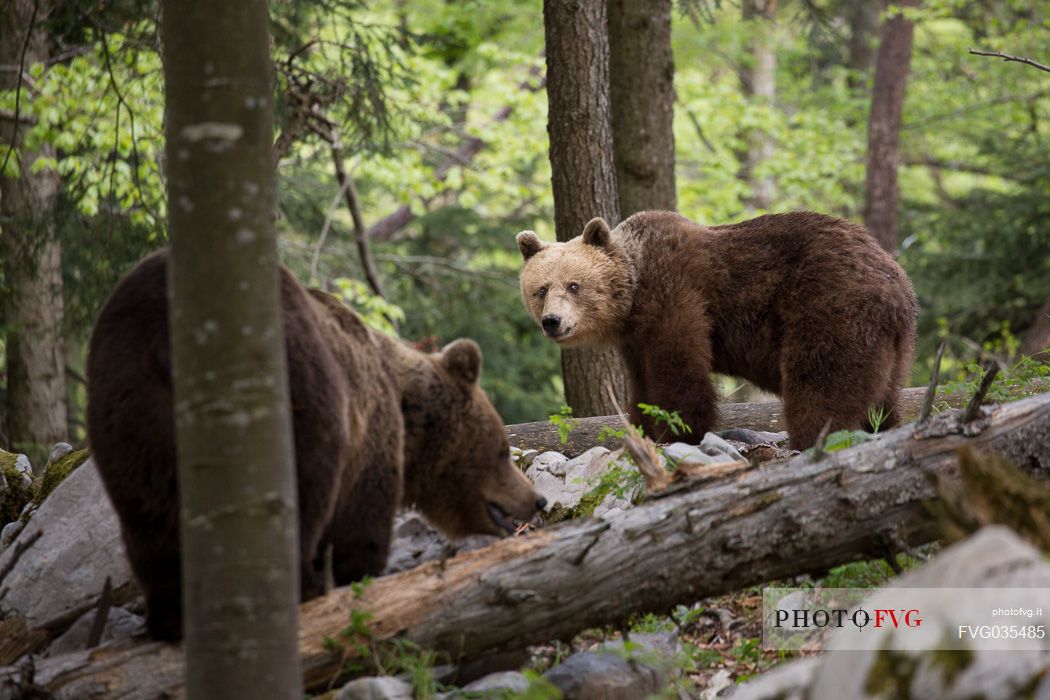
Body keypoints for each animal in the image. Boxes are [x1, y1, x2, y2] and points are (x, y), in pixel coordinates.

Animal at [516, 207, 919, 449]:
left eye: (574, 285)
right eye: (541, 289)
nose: (553, 321)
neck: (634, 293)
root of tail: (898, 282)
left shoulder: (676, 296)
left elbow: (679, 373)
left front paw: (681, 431)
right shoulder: (635, 338)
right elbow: (642, 387)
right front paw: (644, 427)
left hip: (828, 306)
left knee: (822, 385)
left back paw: (812, 440)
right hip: (889, 345)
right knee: (882, 397)